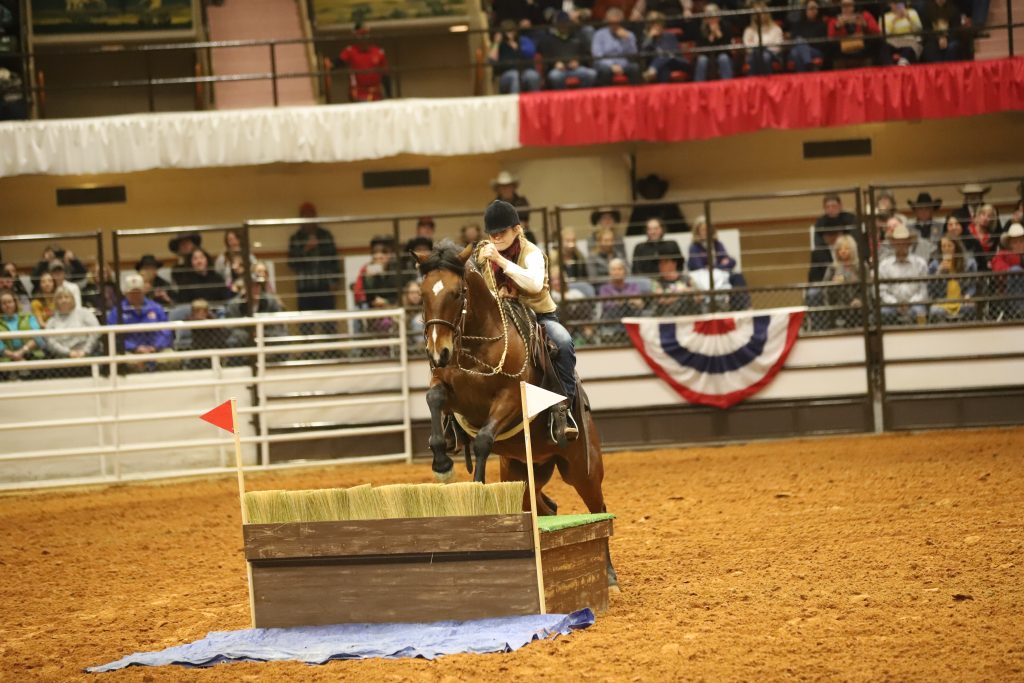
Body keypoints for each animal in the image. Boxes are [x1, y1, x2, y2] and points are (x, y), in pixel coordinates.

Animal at [413, 241, 614, 589]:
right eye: (423, 294)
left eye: (457, 293)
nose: (438, 352)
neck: (478, 344)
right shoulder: (448, 389)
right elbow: (434, 397)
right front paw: (442, 464)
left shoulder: (509, 402)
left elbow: (483, 440)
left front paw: (477, 489)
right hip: (521, 471)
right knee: (546, 507)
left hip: (582, 471)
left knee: (597, 508)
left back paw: (611, 575)